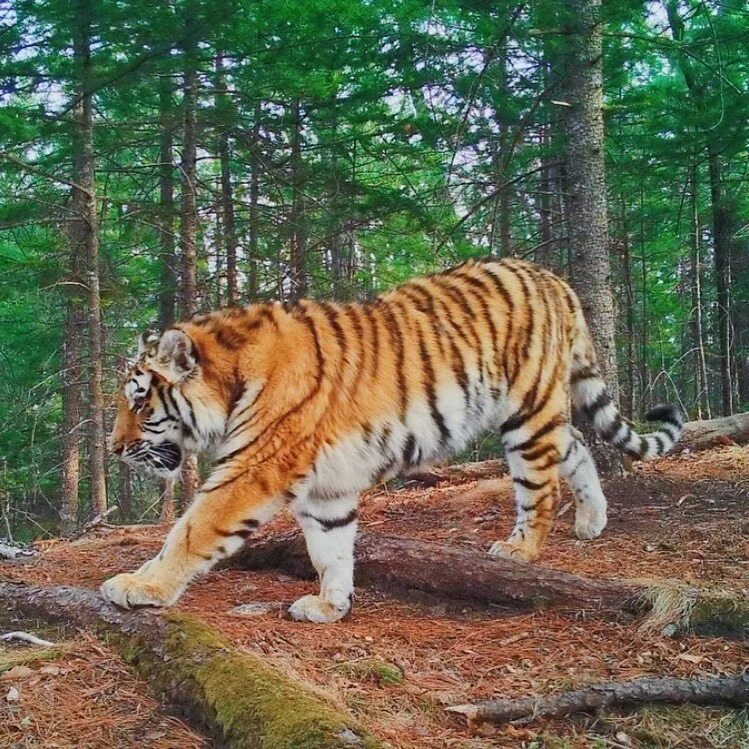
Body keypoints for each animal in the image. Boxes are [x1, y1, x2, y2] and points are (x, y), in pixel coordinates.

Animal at [103, 257, 683, 623]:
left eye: (139, 402)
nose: (113, 448)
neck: (230, 381)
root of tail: (551, 277)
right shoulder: (326, 486)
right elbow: (330, 547)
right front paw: (331, 606)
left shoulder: (252, 467)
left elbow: (191, 531)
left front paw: (139, 586)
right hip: (536, 414)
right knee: (579, 447)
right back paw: (591, 522)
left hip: (527, 410)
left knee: (542, 488)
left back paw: (520, 550)